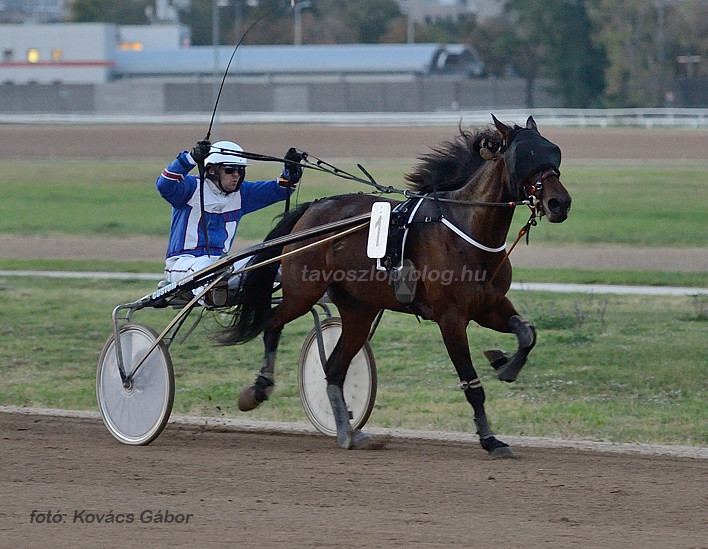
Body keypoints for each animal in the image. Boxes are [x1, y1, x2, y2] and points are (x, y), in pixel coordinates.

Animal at [220, 113, 568, 456]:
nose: (560, 203)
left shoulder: (489, 305)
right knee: (272, 323)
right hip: (302, 292)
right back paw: (259, 389)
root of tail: (314, 207)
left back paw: (347, 432)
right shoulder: (451, 318)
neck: (465, 229)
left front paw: (505, 364)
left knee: (334, 368)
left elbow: (527, 333)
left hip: (359, 309)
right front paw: (490, 439)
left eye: (553, 152)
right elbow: (472, 385)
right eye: (526, 156)